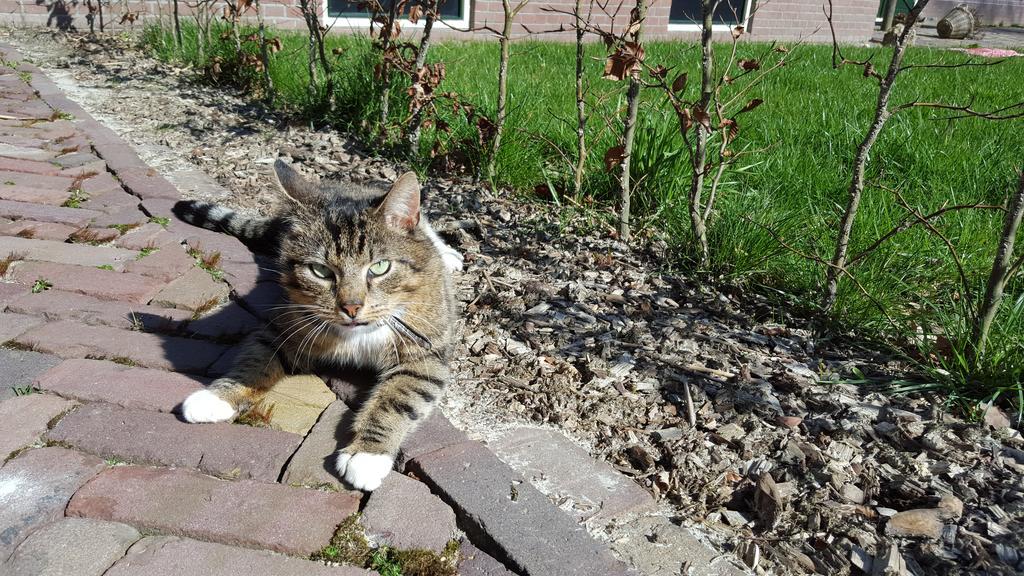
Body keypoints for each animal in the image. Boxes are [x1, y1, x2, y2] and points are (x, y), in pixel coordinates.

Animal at [175, 159, 460, 487]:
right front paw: (217, 396)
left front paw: (368, 455)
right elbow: (254, 362)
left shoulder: (426, 354)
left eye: (379, 267)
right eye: (320, 271)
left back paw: (448, 254)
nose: (351, 306)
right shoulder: (282, 329)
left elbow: (397, 398)